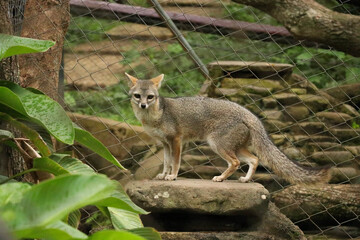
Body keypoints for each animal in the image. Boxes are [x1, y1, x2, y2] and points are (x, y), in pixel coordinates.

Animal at [125, 72, 330, 184]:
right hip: (236, 148)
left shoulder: (176, 140)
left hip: (218, 145)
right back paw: (246, 180)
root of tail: (247, 113)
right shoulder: (165, 143)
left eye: (150, 97)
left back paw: (221, 178)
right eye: (137, 96)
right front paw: (163, 175)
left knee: (236, 163)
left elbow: (175, 162)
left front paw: (172, 176)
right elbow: (167, 162)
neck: (155, 116)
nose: (143, 105)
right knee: (254, 159)